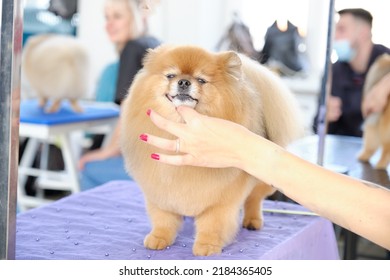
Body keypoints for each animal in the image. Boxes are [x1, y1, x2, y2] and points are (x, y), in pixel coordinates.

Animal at [120, 45, 304, 256]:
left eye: (201, 80)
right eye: (170, 75)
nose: (184, 82)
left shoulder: (221, 200)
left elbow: (213, 223)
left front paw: (207, 246)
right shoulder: (159, 190)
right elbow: (163, 218)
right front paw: (159, 238)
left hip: (260, 181)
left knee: (254, 199)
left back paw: (252, 221)